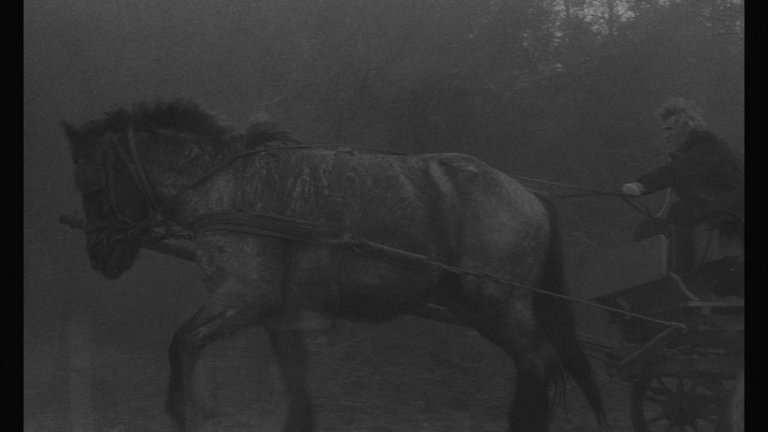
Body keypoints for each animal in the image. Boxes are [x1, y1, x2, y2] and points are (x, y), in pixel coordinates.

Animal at [62, 99, 606, 432]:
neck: (224, 184)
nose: (99, 255)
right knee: (535, 364)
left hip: (498, 304)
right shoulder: (279, 312)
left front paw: (186, 413)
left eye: (91, 184)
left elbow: (181, 343)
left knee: (538, 361)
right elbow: (298, 385)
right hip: (480, 307)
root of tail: (529, 195)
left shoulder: (243, 296)